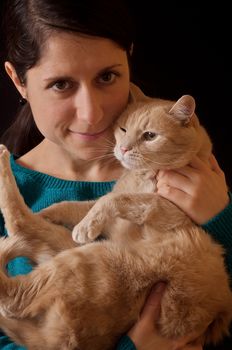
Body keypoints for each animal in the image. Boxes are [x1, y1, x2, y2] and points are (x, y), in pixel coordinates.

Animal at [0, 94, 231, 348]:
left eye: (150, 136)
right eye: (123, 129)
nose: (123, 148)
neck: (139, 175)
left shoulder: (168, 211)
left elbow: (113, 199)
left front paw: (85, 226)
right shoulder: (104, 207)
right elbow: (73, 205)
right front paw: (51, 212)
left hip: (91, 258)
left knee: (14, 289)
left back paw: (3, 157)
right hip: (69, 249)